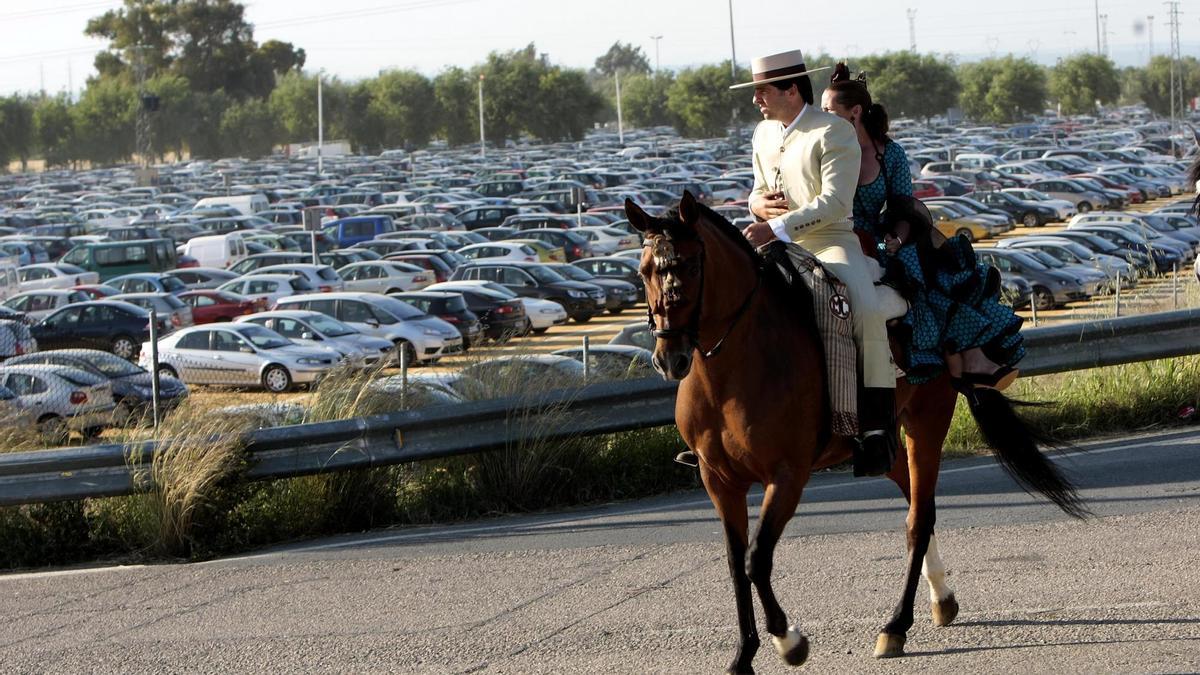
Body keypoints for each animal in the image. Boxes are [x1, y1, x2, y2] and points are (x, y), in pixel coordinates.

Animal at [628, 192, 1089, 667]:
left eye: (691, 266)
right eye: (643, 270)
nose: (669, 358)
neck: (734, 366)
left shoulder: (787, 476)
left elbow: (756, 559)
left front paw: (789, 641)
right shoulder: (718, 480)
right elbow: (737, 565)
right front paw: (743, 656)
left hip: (927, 421)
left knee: (919, 518)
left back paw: (896, 625)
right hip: (883, 446)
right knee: (915, 504)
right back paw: (941, 598)